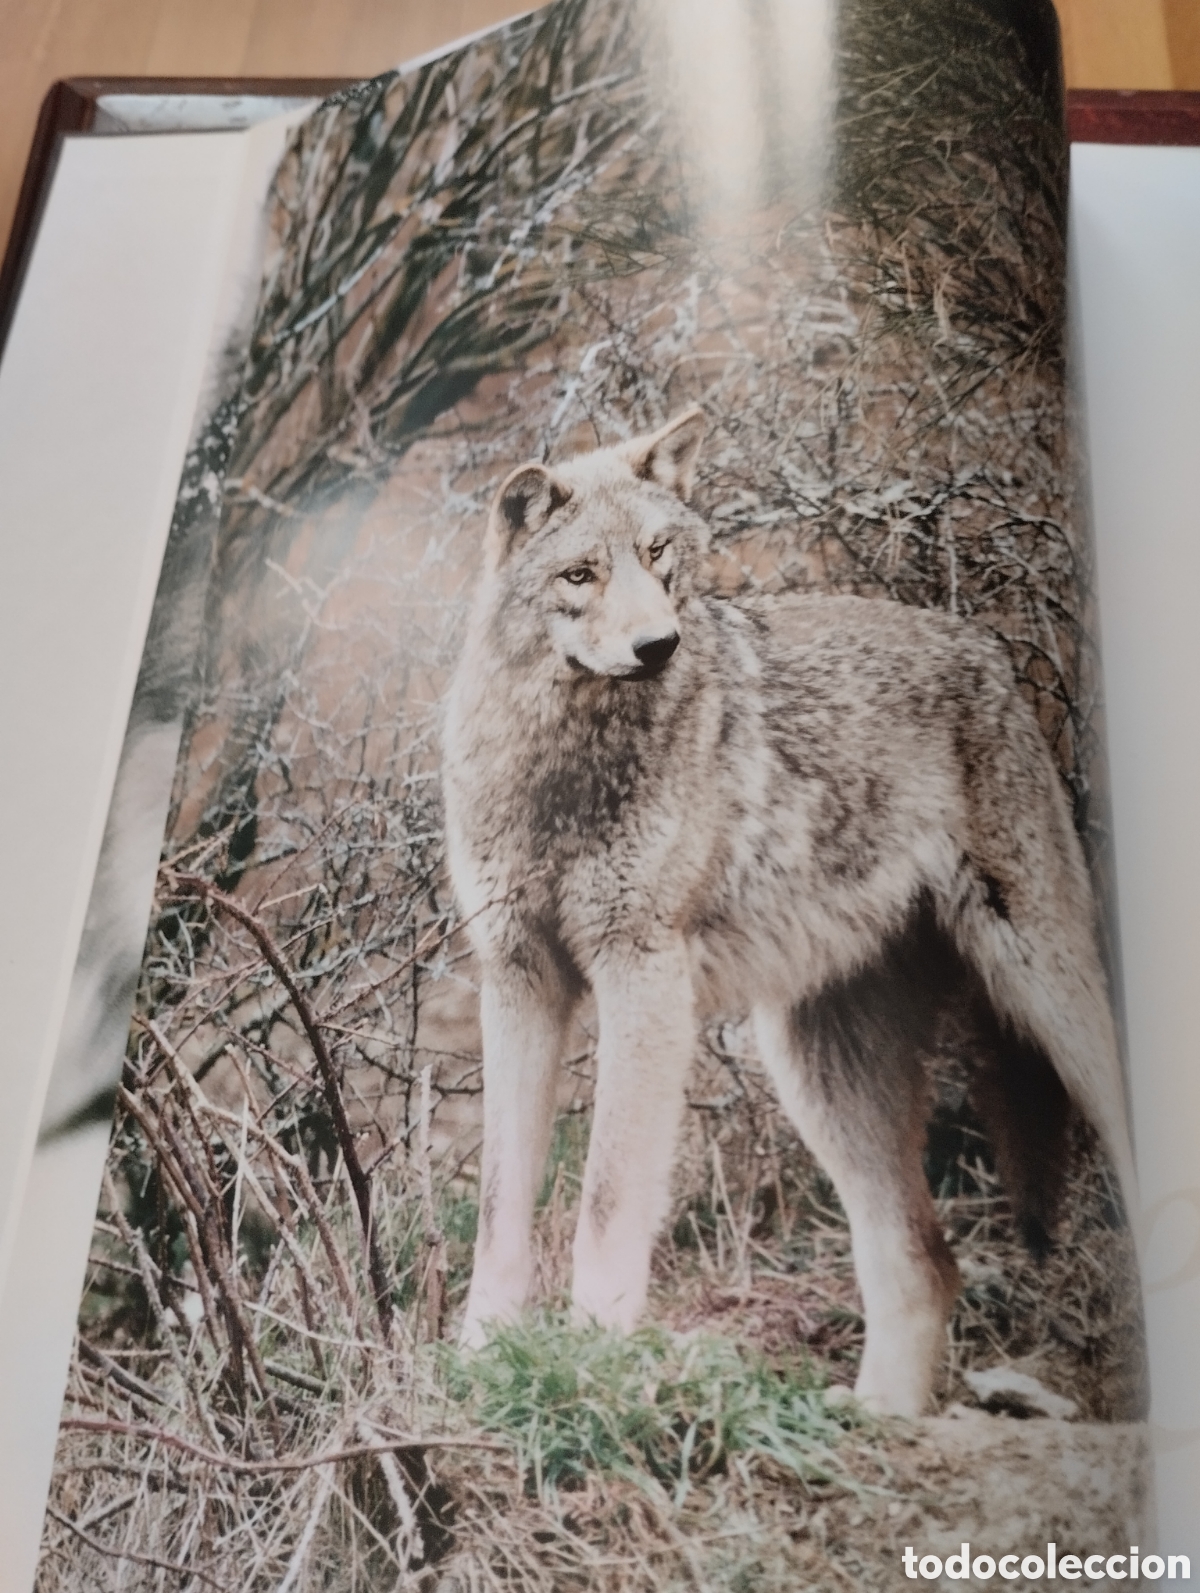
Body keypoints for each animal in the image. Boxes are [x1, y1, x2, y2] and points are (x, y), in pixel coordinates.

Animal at [442, 407, 1136, 1416]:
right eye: (580, 574)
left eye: (658, 554)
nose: (660, 646)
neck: (559, 771)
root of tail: (987, 650)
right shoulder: (518, 978)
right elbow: (501, 1202)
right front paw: (478, 1357)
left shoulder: (641, 975)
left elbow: (607, 1201)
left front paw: (591, 1361)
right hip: (816, 1069)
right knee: (925, 1262)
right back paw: (878, 1417)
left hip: (1044, 989)